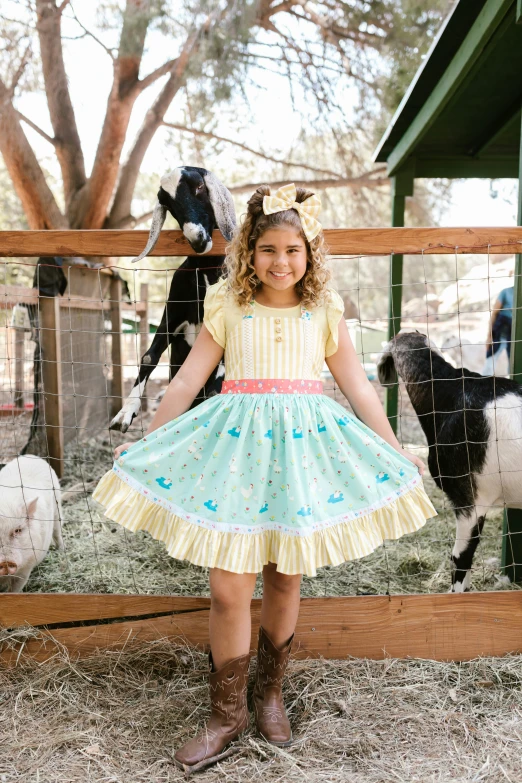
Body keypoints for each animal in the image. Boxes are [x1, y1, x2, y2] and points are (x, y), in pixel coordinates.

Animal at [0, 456, 63, 592]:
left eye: (18, 530)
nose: (5, 562)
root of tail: (32, 457)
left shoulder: (26, 568)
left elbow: (15, 589)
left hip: (57, 507)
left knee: (57, 532)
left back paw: (61, 550)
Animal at [109, 167, 236, 434]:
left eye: (200, 186)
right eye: (167, 202)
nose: (197, 239)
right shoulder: (171, 318)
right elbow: (148, 357)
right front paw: (125, 413)